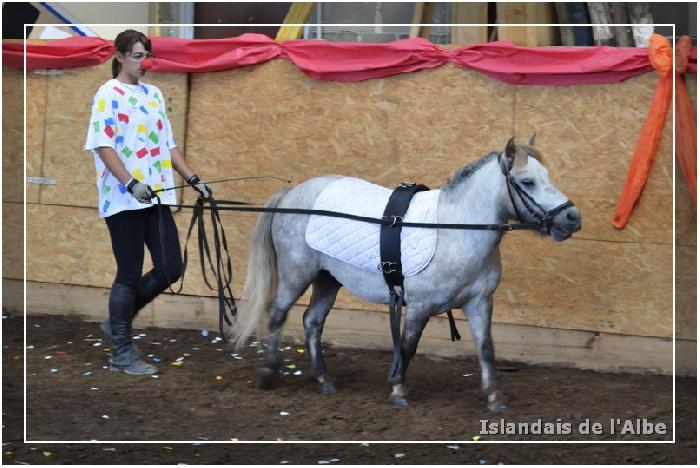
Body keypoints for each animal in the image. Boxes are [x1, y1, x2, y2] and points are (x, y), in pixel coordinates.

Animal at [230, 136, 580, 414]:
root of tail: (290, 197)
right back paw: (268, 374)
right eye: (527, 181)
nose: (572, 218)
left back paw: (324, 380)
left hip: (328, 279)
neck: (455, 230)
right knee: (278, 315)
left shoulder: (480, 303)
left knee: (312, 321)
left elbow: (486, 349)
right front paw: (398, 389)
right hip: (296, 274)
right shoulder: (420, 306)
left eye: (546, 175)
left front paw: (494, 397)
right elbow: (409, 346)